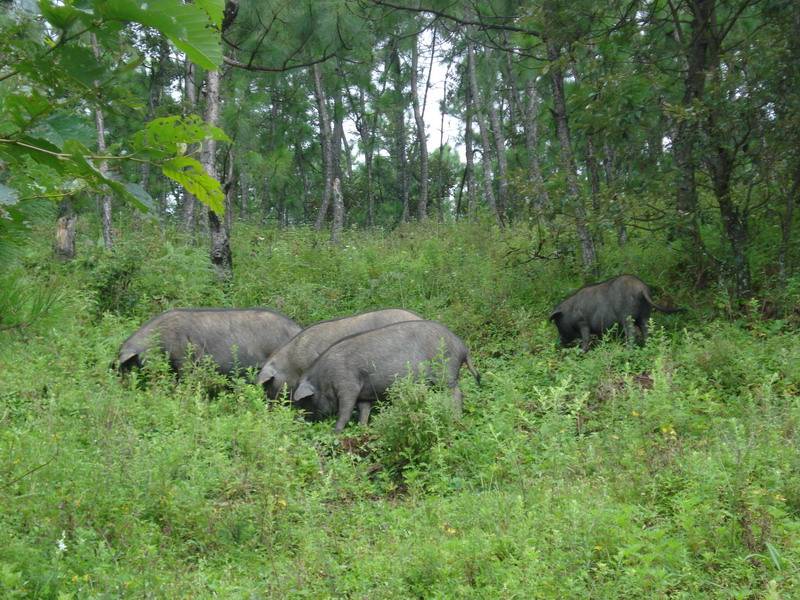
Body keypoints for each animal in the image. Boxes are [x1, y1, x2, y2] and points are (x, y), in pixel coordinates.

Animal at [294, 322, 482, 434]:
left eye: (307, 401)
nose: (306, 422)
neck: (323, 378)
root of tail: (463, 347)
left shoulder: (348, 385)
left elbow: (345, 411)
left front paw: (335, 432)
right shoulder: (364, 393)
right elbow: (364, 411)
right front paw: (363, 430)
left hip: (445, 372)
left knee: (457, 393)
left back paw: (456, 417)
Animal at [548, 276, 684, 354]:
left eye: (557, 323)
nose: (559, 344)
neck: (569, 312)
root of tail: (642, 288)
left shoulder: (582, 323)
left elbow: (586, 337)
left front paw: (582, 351)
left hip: (627, 315)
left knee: (631, 332)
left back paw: (627, 350)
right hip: (645, 315)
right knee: (646, 329)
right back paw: (647, 346)